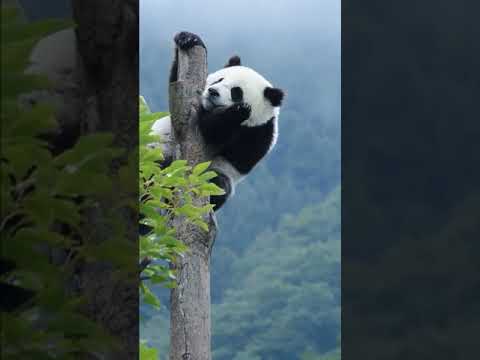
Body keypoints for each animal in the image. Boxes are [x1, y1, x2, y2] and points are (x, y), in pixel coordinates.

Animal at [152, 32, 284, 211]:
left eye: (236, 92)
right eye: (219, 80)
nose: (213, 92)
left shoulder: (257, 132)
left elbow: (213, 133)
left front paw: (237, 111)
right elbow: (176, 80)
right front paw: (189, 39)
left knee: (218, 184)